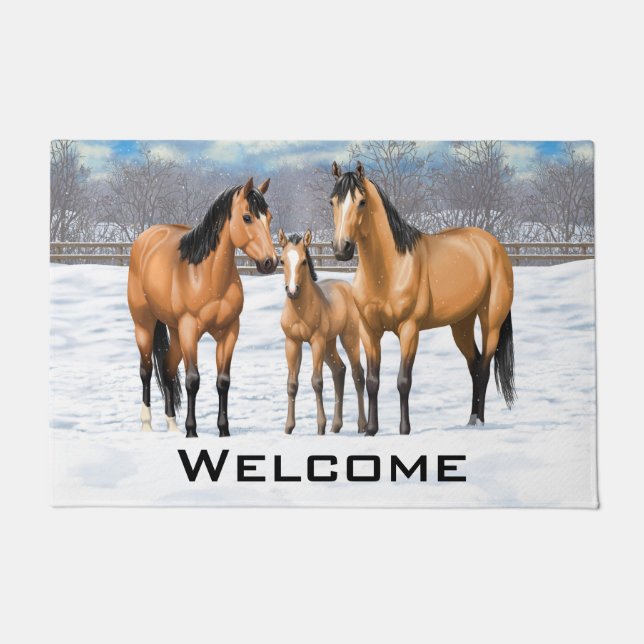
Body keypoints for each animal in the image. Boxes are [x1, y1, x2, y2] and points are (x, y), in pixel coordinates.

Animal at [127, 177, 277, 437]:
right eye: (247, 217)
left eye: (268, 217)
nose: (271, 262)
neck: (206, 276)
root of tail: (146, 237)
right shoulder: (189, 330)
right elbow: (192, 380)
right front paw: (192, 431)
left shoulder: (229, 332)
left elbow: (223, 381)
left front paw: (224, 430)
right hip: (144, 324)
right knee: (146, 371)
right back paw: (147, 424)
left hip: (175, 332)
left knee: (167, 370)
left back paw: (172, 425)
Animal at [278, 229, 367, 435]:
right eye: (282, 261)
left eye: (304, 261)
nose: (292, 291)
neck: (300, 310)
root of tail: (347, 287)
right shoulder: (292, 342)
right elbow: (291, 384)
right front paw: (288, 428)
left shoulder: (316, 341)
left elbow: (317, 382)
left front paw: (320, 427)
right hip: (329, 343)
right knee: (339, 370)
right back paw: (336, 426)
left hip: (348, 338)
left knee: (357, 374)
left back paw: (362, 426)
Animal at [329, 161, 516, 435]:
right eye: (332, 201)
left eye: (361, 202)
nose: (341, 248)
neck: (389, 270)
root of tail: (494, 245)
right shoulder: (368, 330)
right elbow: (373, 380)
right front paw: (371, 430)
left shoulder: (409, 330)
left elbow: (403, 380)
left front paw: (404, 429)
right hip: (461, 324)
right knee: (474, 365)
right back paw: (471, 420)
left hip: (490, 322)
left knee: (483, 368)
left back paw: (479, 421)